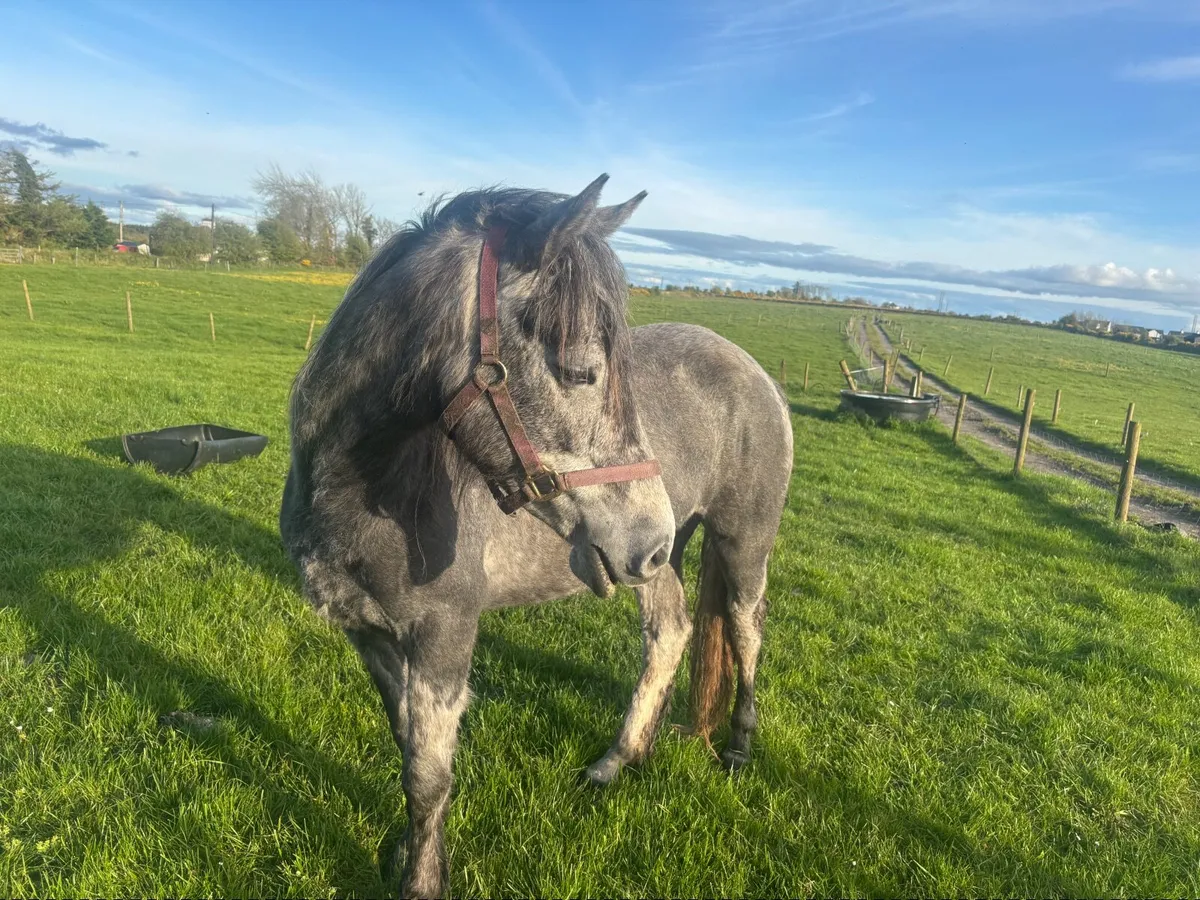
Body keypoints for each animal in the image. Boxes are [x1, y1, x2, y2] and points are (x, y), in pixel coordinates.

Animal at [280, 175, 793, 897]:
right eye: (581, 371)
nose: (650, 530)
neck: (368, 494)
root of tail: (754, 371)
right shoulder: (370, 636)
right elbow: (406, 747)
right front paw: (407, 852)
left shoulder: (443, 636)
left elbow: (428, 775)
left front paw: (423, 879)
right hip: (655, 566)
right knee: (669, 634)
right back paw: (620, 760)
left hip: (738, 544)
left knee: (746, 632)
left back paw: (739, 747)